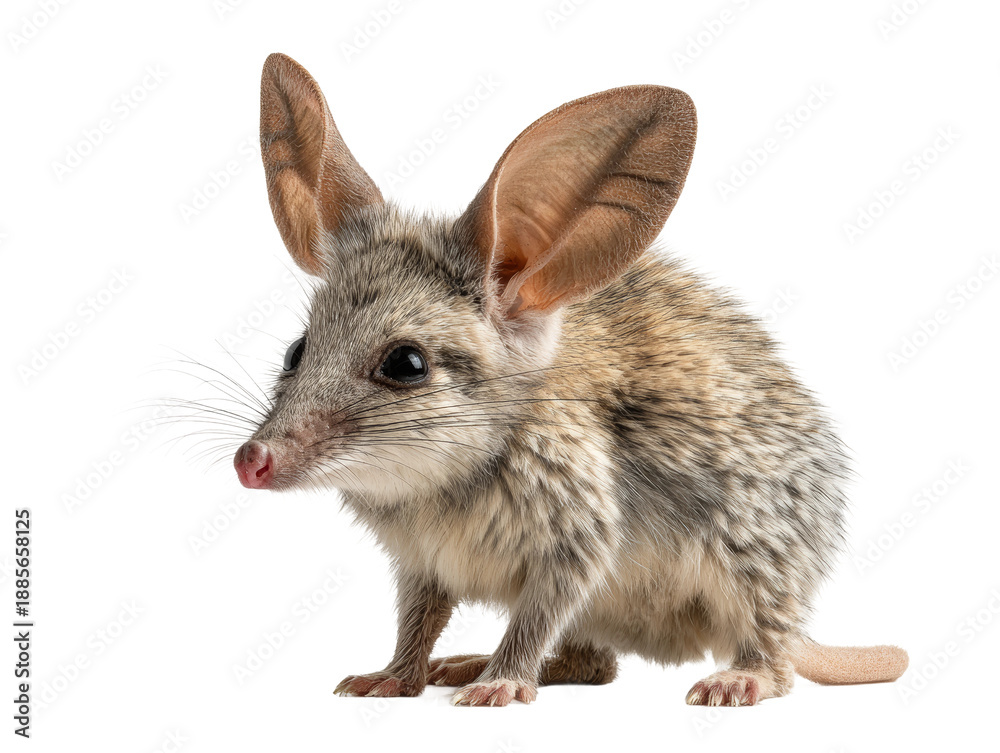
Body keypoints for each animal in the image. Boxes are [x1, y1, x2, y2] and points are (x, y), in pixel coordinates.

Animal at [232, 52, 908, 707]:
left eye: (406, 365)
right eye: (297, 350)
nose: (250, 461)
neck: (437, 483)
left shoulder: (577, 539)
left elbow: (533, 618)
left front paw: (501, 686)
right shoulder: (421, 565)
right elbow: (417, 622)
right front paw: (390, 680)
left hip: (751, 568)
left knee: (774, 660)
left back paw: (734, 681)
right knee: (594, 665)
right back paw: (469, 663)